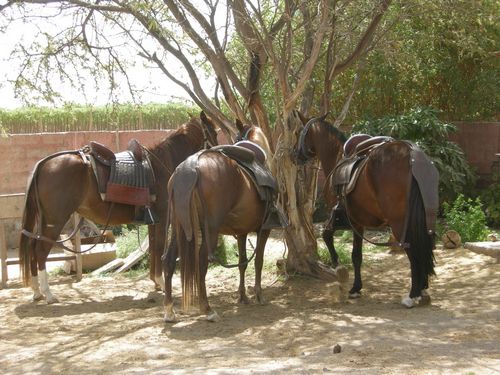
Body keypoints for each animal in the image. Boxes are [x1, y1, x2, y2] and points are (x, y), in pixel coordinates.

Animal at [18, 112, 218, 306]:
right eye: (214, 132)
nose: (217, 152)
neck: (161, 165)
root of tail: (44, 164)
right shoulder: (161, 219)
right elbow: (159, 248)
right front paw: (161, 282)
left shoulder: (153, 222)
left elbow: (153, 249)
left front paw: (155, 281)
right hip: (55, 220)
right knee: (40, 251)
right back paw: (48, 293)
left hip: (45, 221)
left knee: (33, 248)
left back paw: (36, 291)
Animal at [163, 120, 274, 324]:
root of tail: (189, 169)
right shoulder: (264, 229)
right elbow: (258, 261)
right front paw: (259, 295)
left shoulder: (242, 232)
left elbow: (243, 262)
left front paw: (242, 296)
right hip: (210, 231)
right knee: (201, 263)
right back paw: (207, 309)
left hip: (178, 228)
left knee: (168, 260)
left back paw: (169, 311)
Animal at [296, 114, 438, 308]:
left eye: (299, 133)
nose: (294, 154)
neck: (337, 157)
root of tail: (412, 158)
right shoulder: (359, 222)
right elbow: (357, 256)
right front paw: (356, 287)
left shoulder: (346, 219)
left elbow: (328, 237)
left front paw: (338, 267)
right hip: (425, 219)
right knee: (424, 247)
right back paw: (423, 289)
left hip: (400, 223)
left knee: (412, 249)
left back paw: (413, 294)